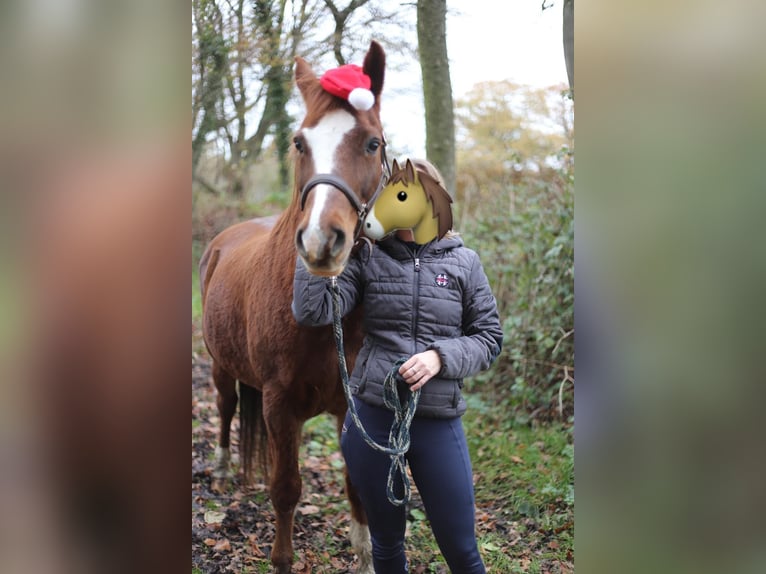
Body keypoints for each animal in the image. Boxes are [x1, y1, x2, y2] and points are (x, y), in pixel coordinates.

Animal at [200, 41, 388, 574]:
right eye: (300, 142)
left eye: (372, 144)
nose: (322, 240)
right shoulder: (278, 402)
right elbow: (284, 489)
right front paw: (282, 560)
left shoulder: (348, 407)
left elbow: (356, 486)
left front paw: (365, 556)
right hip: (222, 366)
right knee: (225, 408)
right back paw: (221, 467)